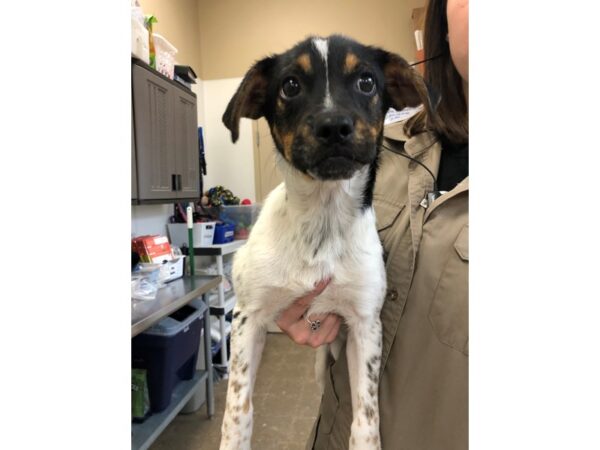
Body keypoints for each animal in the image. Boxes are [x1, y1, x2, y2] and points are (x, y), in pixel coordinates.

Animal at [219, 33, 426, 448]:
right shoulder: (248, 317)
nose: (334, 126)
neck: (322, 221)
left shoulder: (365, 324)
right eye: (290, 85)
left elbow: (365, 419)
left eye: (366, 81)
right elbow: (238, 411)